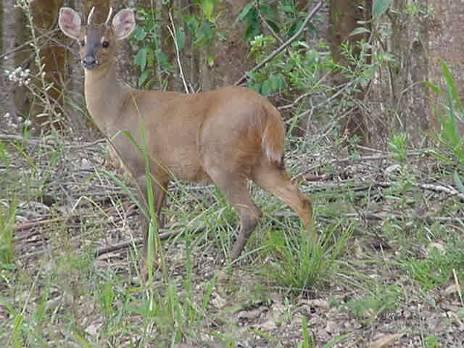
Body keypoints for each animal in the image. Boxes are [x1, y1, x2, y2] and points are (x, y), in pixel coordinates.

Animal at [56, 5, 314, 266]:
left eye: (106, 43)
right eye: (81, 41)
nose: (88, 60)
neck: (117, 110)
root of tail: (268, 110)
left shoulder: (141, 164)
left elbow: (147, 220)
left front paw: (145, 267)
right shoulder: (162, 172)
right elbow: (158, 220)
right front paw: (158, 263)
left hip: (222, 158)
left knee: (251, 213)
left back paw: (227, 265)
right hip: (263, 162)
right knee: (301, 200)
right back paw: (310, 252)